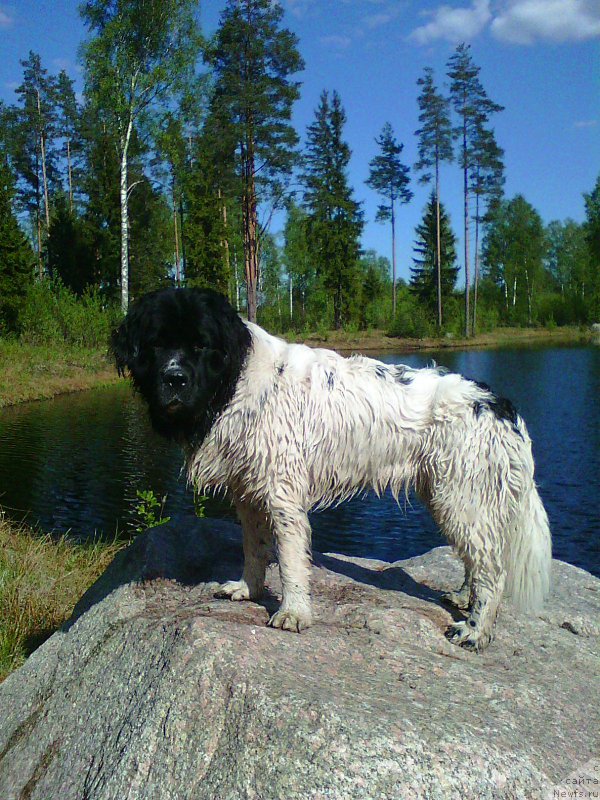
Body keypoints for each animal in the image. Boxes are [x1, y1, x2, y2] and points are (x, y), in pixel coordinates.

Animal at [110, 288, 552, 648]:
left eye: (201, 345)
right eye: (156, 344)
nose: (175, 379)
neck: (235, 385)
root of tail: (500, 405)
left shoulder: (283, 495)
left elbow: (290, 560)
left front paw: (293, 613)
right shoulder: (248, 492)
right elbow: (254, 548)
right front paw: (248, 589)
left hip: (459, 496)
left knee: (493, 570)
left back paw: (475, 629)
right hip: (449, 496)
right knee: (478, 558)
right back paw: (463, 597)